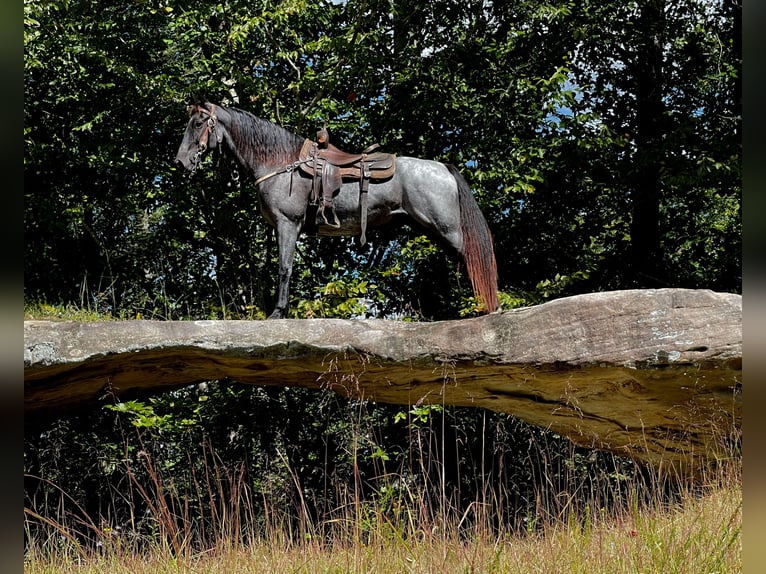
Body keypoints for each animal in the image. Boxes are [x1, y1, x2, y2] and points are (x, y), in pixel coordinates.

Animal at [173, 102, 498, 320]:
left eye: (199, 123)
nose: (180, 161)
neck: (281, 164)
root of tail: (444, 168)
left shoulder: (287, 224)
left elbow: (284, 267)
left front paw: (277, 313)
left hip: (448, 230)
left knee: (475, 261)